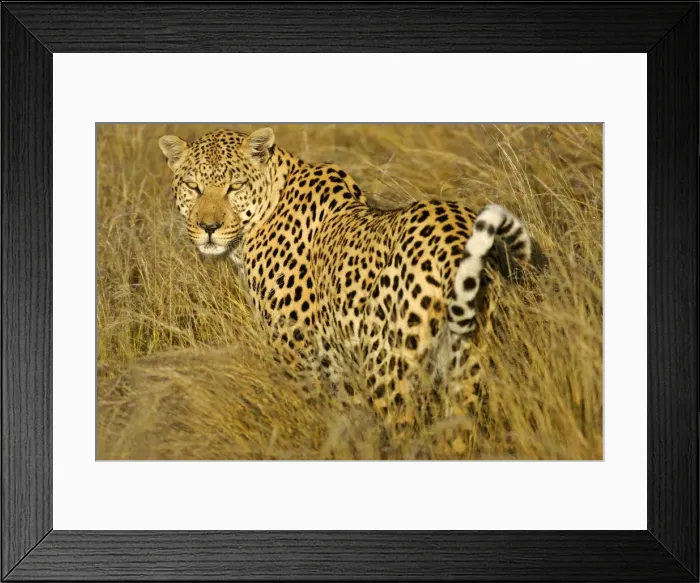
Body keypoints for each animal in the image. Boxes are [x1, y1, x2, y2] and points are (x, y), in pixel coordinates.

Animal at [158, 127, 540, 430]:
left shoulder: (301, 357)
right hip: (468, 361)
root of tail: (457, 233)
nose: (208, 227)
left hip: (389, 363)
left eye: (234, 186)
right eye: (193, 186)